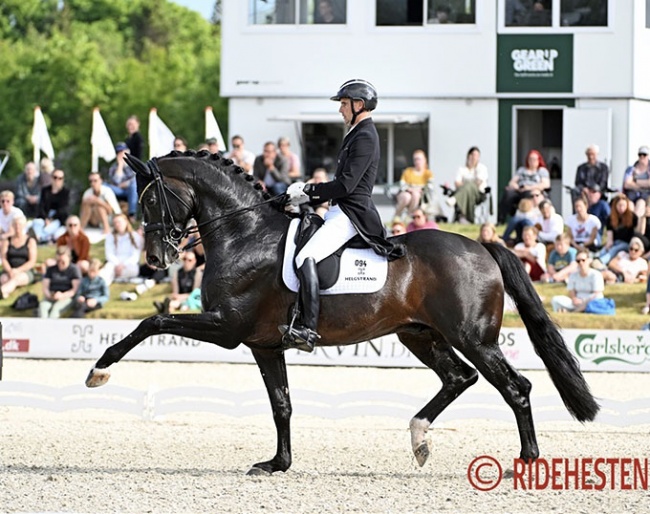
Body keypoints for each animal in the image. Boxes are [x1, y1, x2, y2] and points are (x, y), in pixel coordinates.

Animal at [85, 150, 596, 474]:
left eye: (151, 198)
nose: (156, 259)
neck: (243, 233)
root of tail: (483, 247)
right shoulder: (263, 344)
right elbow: (282, 405)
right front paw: (277, 464)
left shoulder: (227, 328)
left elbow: (151, 322)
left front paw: (99, 370)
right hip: (420, 334)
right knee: (459, 378)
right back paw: (419, 438)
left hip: (473, 337)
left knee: (516, 387)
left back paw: (525, 461)